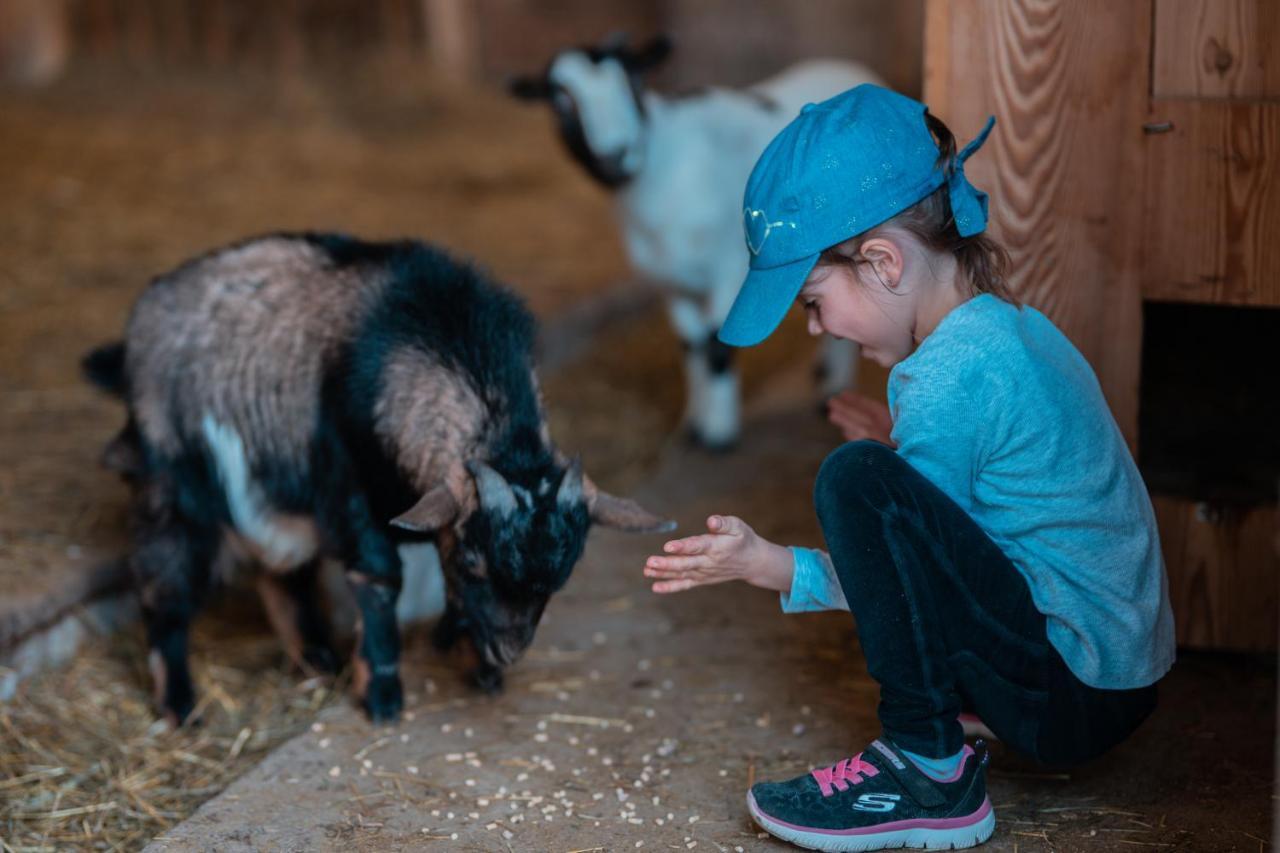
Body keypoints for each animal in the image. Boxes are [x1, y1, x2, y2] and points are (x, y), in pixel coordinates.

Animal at [83, 230, 675, 717]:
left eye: (563, 575)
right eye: (474, 562)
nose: (508, 651)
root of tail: (135, 331)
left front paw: (471, 662)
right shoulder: (347, 484)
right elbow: (379, 575)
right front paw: (383, 692)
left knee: (282, 571)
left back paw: (315, 657)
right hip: (170, 481)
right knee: (166, 578)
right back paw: (179, 704)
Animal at [509, 34, 880, 445]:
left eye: (634, 84)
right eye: (560, 102)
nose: (616, 155)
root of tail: (852, 68)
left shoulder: (729, 269)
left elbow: (716, 346)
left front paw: (718, 433)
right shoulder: (671, 281)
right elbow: (691, 348)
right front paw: (694, 423)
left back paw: (833, 388)